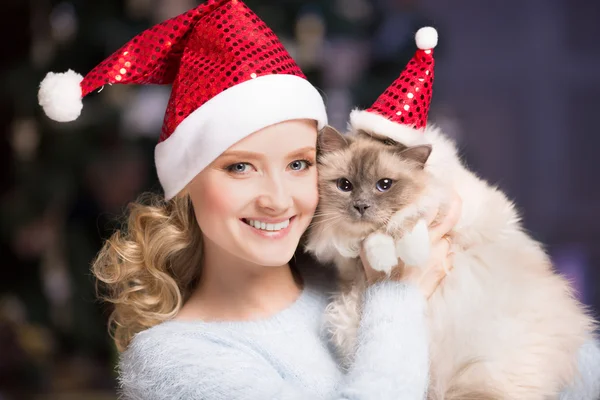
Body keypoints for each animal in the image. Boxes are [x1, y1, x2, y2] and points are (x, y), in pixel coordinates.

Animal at [304, 118, 596, 400]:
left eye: (384, 185)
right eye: (345, 185)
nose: (361, 207)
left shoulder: (451, 207)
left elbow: (406, 219)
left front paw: (394, 251)